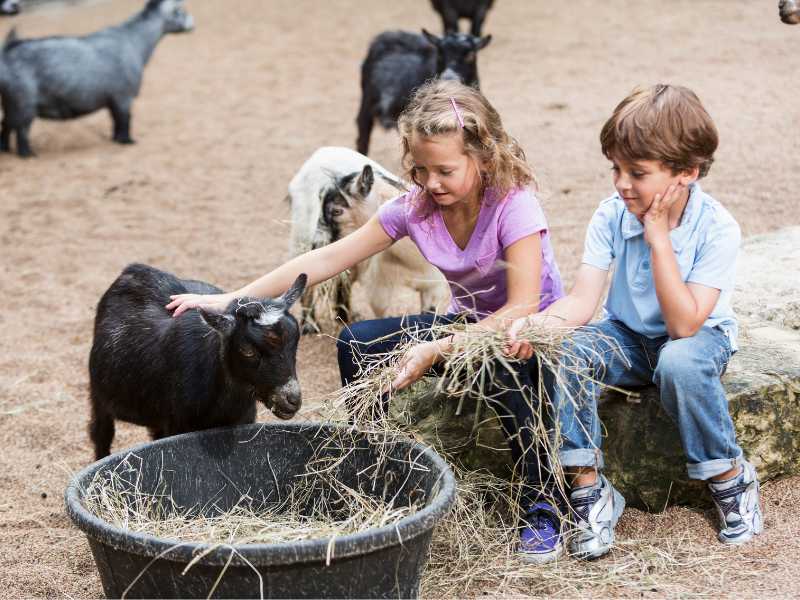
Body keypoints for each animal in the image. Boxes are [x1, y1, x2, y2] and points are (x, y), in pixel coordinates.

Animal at [88, 262, 306, 460]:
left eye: (296, 341)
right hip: (99, 396)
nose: (292, 400)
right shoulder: (177, 423)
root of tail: (133, 269)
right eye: (247, 351)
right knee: (101, 433)